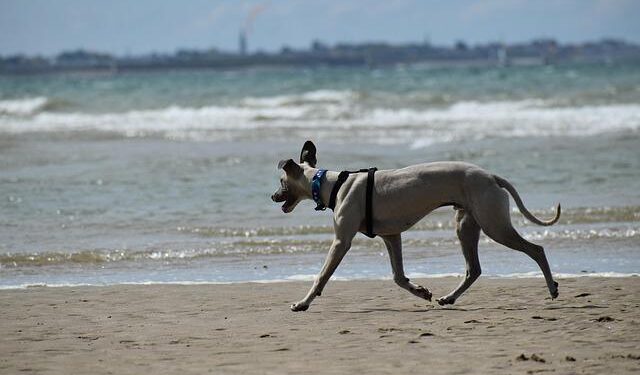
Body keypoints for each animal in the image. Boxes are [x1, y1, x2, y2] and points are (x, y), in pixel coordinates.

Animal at [270, 141, 560, 312]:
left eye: (281, 182)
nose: (272, 196)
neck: (332, 184)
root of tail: (491, 176)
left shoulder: (342, 242)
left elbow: (321, 276)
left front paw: (303, 302)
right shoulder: (391, 236)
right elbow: (398, 277)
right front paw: (420, 291)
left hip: (494, 225)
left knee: (536, 250)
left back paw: (552, 287)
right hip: (466, 225)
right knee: (473, 269)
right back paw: (449, 298)